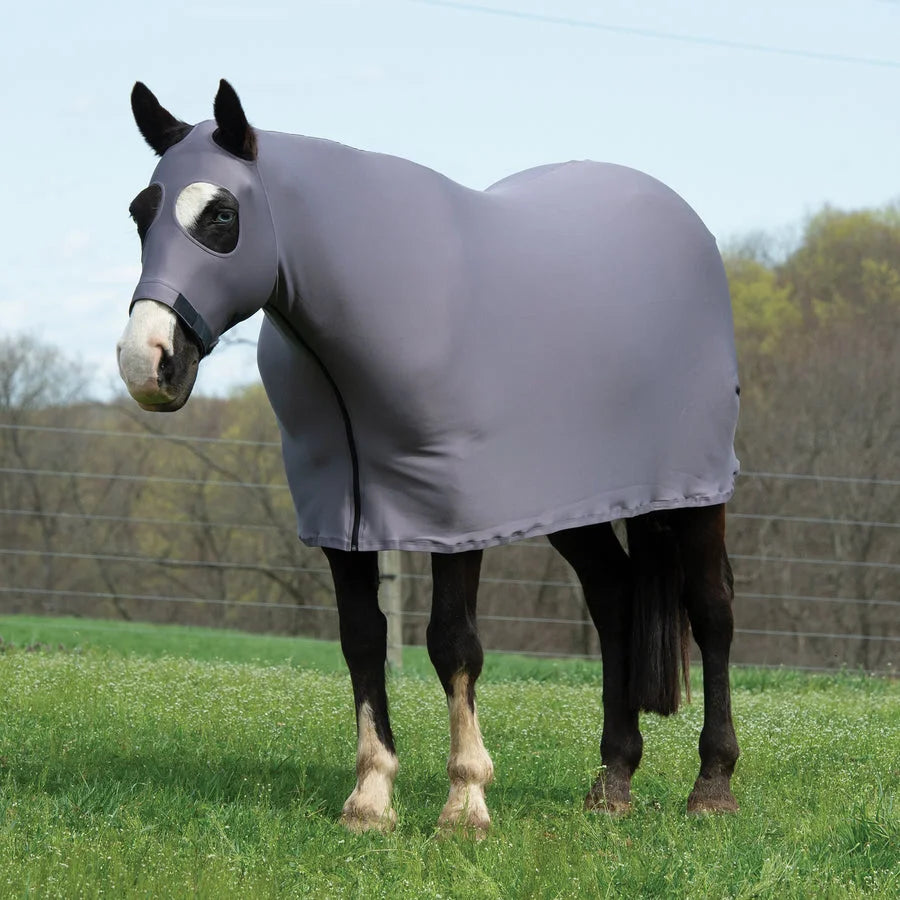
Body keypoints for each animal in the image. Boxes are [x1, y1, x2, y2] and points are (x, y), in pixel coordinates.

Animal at [117, 80, 741, 834]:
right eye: (140, 214)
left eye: (222, 215)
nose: (147, 362)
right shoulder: (342, 521)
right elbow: (362, 640)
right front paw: (370, 799)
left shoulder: (455, 519)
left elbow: (453, 644)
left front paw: (465, 802)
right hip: (576, 508)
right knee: (614, 597)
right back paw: (612, 782)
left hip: (696, 493)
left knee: (711, 608)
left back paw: (712, 787)